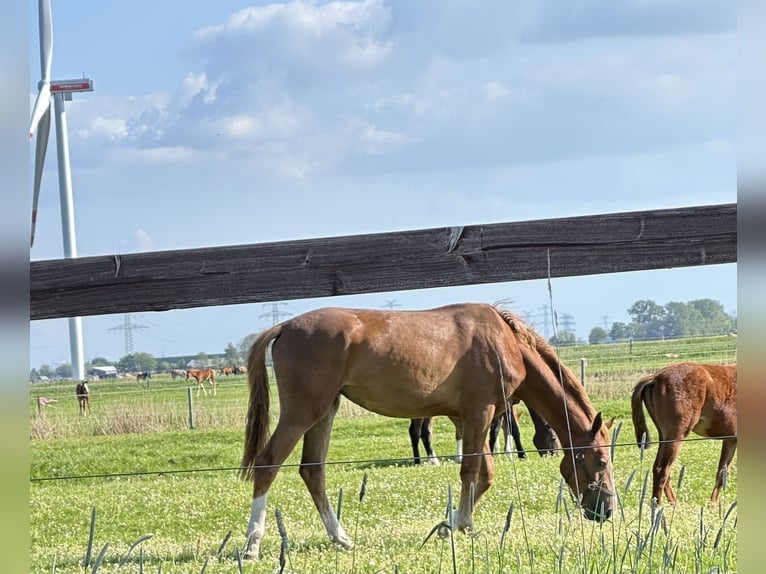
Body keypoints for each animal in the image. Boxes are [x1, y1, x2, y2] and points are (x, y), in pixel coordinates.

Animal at [240, 306, 616, 564]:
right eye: (600, 461)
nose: (607, 510)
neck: (503, 342)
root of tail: (284, 326)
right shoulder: (480, 413)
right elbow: (470, 469)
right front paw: (463, 524)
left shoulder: (468, 418)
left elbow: (484, 473)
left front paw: (450, 524)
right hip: (303, 412)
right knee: (268, 464)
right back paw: (251, 545)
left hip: (325, 412)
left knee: (312, 470)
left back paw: (341, 538)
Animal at [632, 362, 736, 506]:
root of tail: (656, 377)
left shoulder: (730, 439)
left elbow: (722, 473)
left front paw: (712, 505)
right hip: (676, 435)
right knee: (661, 469)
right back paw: (659, 507)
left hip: (664, 436)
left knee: (662, 470)